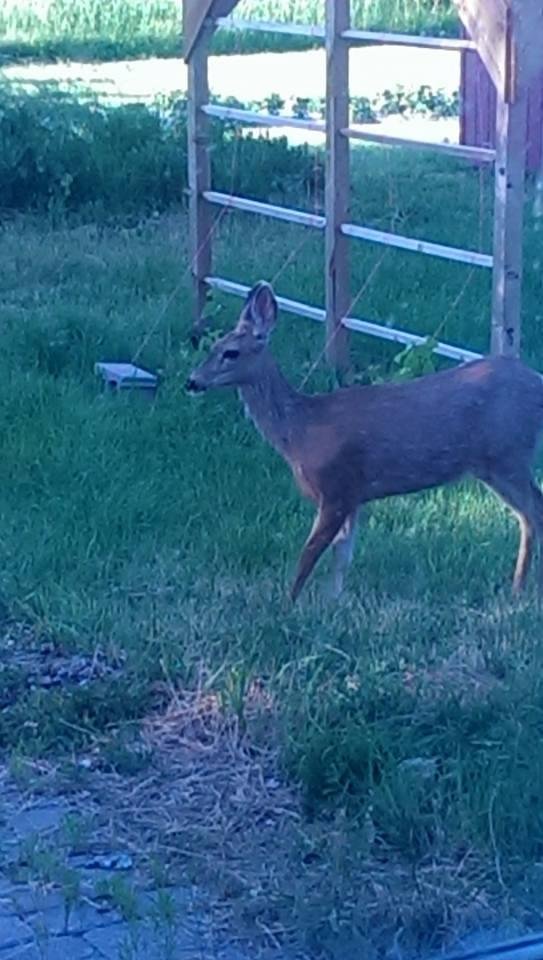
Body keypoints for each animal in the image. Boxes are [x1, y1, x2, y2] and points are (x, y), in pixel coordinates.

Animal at [186, 281, 543, 603]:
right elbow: (342, 556)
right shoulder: (354, 495)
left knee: (531, 512)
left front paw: (287, 605)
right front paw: (332, 602)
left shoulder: (337, 486)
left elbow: (309, 554)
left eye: (231, 353)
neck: (300, 431)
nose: (192, 381)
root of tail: (537, 382)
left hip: (506, 454)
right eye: (212, 347)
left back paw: (516, 590)